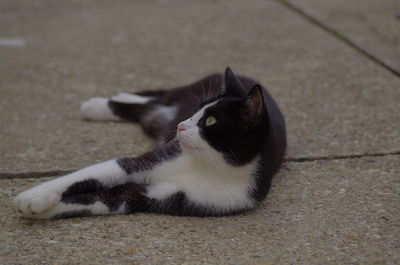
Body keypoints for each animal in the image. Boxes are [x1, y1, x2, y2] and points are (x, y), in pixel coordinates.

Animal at [13, 66, 288, 219]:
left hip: (157, 118)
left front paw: (40, 209)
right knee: (160, 95)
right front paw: (34, 196)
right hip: (183, 91)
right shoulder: (157, 157)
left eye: (210, 121)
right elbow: (92, 173)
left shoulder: (175, 197)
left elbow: (107, 199)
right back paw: (99, 105)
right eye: (197, 111)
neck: (211, 165)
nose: (182, 125)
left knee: (146, 111)